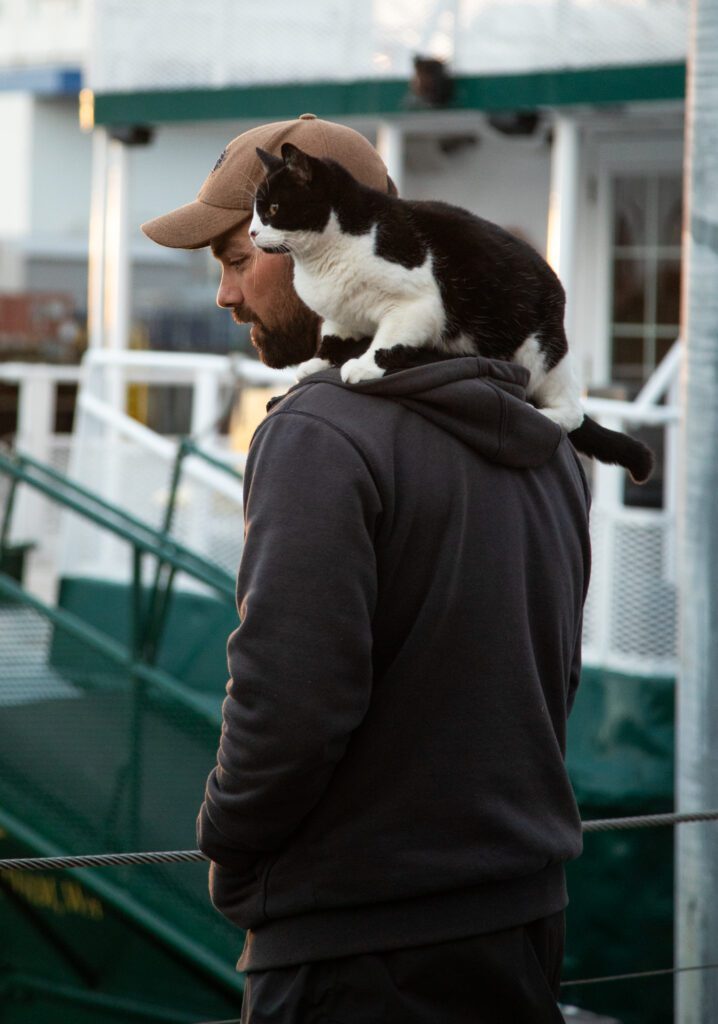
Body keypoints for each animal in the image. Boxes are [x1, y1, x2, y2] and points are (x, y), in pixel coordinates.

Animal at [248, 141, 651, 487]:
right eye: (255, 211)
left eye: (272, 210)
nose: (252, 233)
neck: (322, 258)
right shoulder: (342, 315)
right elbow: (331, 340)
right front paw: (316, 364)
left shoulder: (417, 304)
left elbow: (387, 341)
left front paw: (362, 366)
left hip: (541, 350)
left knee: (571, 411)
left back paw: (541, 413)